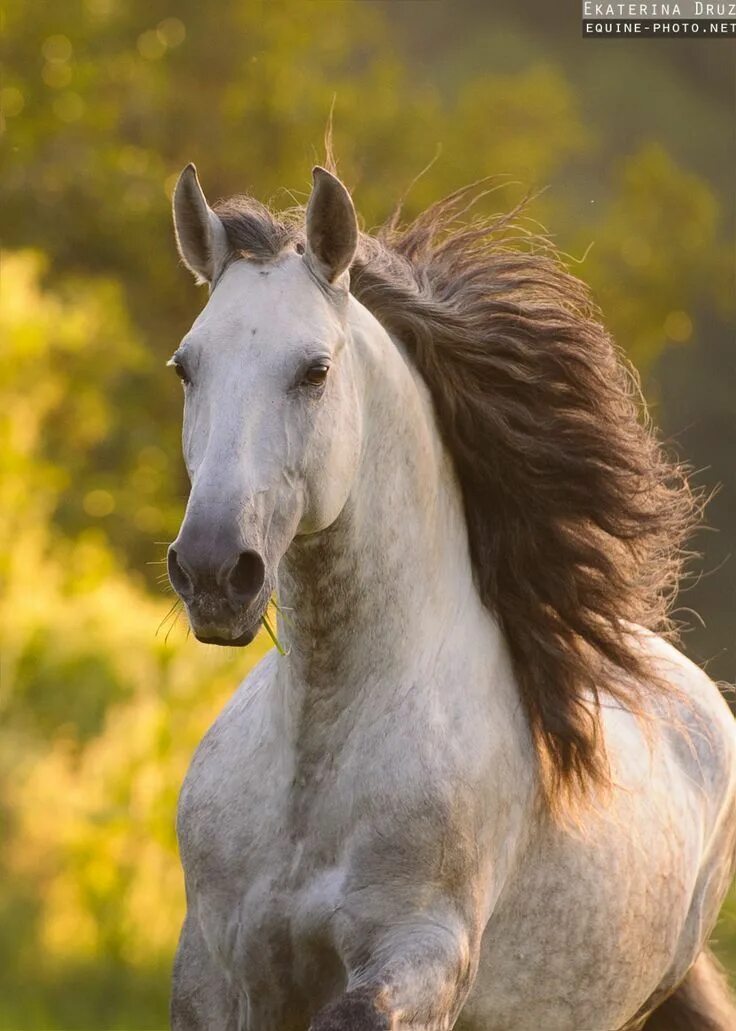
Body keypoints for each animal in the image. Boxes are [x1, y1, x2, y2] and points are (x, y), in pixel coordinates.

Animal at [165, 160, 733, 1031]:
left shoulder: (422, 954)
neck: (317, 765)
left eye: (315, 371)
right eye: (186, 367)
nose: (211, 571)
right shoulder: (215, 970)